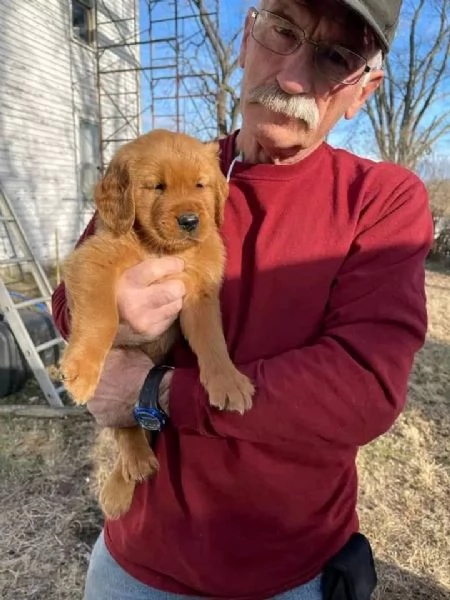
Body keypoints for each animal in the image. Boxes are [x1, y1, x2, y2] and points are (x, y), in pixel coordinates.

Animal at [60, 131, 255, 520]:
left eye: (200, 184)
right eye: (157, 187)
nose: (191, 220)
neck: (164, 250)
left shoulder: (200, 293)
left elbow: (212, 341)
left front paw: (227, 381)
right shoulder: (92, 261)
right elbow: (102, 317)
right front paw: (82, 371)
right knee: (124, 427)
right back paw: (131, 470)